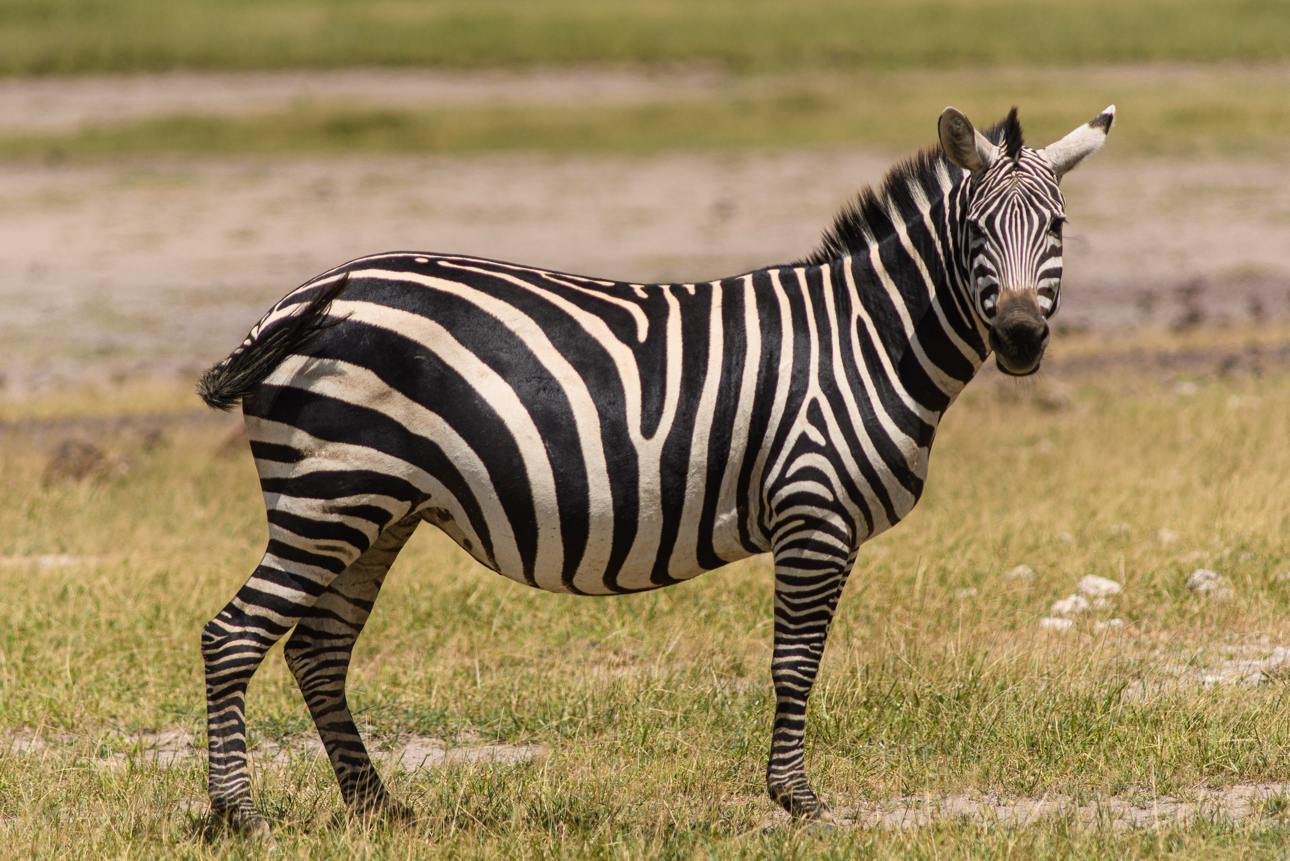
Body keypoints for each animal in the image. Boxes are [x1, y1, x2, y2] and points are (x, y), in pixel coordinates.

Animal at [197, 104, 1114, 833]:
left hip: (375, 509)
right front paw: (798, 799)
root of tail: (300, 296)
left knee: (317, 648)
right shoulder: (814, 508)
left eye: (1059, 229)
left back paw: (379, 807)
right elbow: (796, 660)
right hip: (328, 498)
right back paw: (241, 814)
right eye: (976, 233)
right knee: (232, 635)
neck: (866, 338)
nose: (1023, 337)